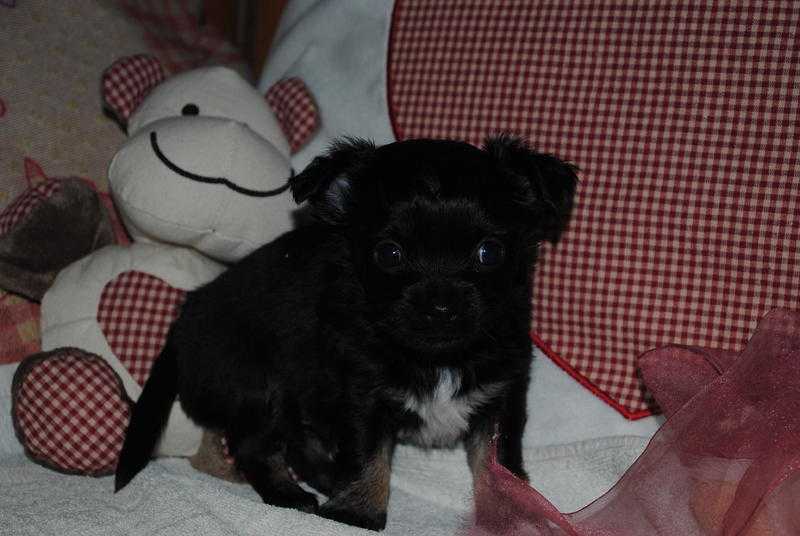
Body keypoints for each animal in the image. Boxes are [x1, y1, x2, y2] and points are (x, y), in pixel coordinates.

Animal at [114, 135, 576, 532]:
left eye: (489, 252)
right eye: (389, 253)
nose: (440, 307)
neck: (437, 358)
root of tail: (184, 320)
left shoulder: (502, 392)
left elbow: (499, 463)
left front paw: (513, 513)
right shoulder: (362, 394)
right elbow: (368, 455)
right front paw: (359, 513)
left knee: (295, 441)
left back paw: (325, 479)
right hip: (258, 385)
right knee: (254, 446)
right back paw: (291, 494)